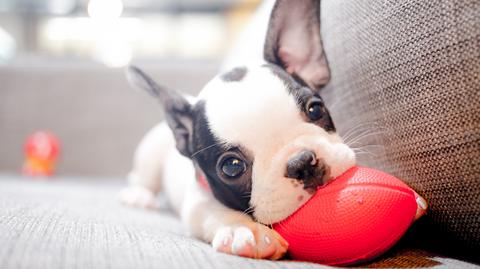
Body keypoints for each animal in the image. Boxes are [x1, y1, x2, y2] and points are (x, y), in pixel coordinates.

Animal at [118, 0, 354, 258]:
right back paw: (139, 195)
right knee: (143, 178)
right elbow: (214, 211)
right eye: (232, 166)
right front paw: (244, 229)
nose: (301, 163)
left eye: (315, 109)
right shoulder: (198, 201)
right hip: (150, 151)